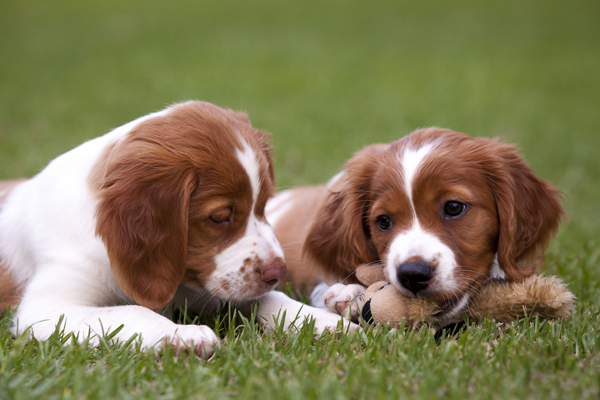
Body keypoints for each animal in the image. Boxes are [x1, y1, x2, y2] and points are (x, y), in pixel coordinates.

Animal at [0, 101, 346, 358]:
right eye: (219, 216)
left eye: (263, 206)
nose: (278, 272)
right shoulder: (45, 308)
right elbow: (129, 311)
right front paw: (181, 334)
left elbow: (270, 298)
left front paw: (326, 321)